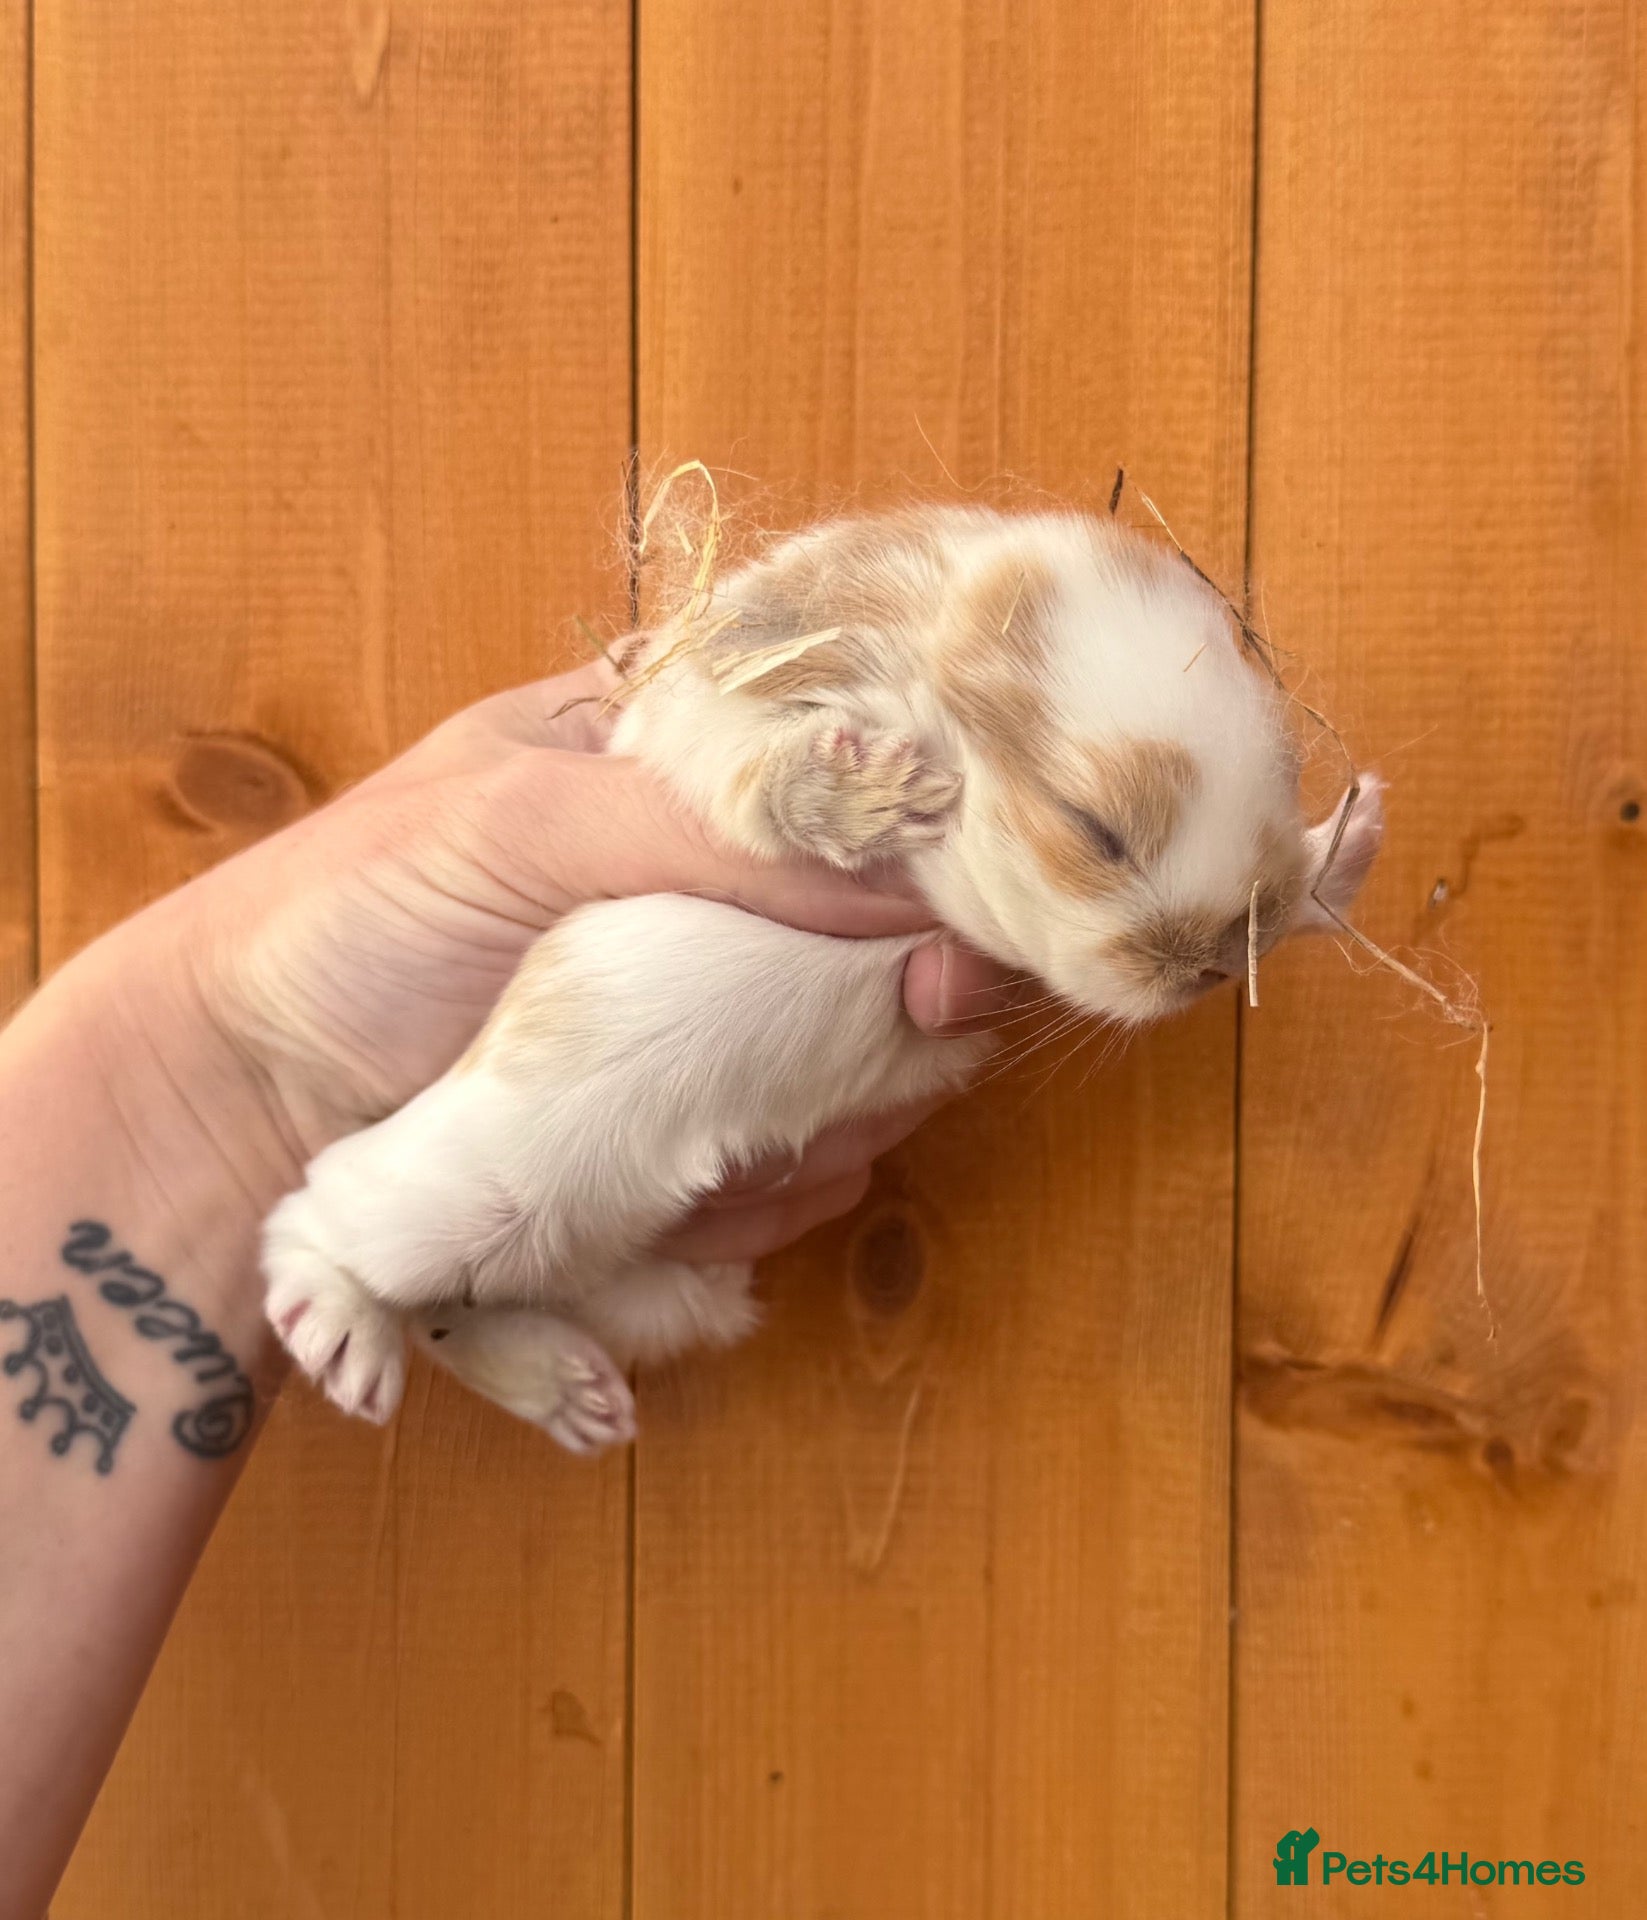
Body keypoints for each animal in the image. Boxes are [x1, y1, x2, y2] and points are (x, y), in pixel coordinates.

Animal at [262, 503, 1385, 1451]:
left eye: (1281, 788)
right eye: (1092, 829)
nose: (1205, 967)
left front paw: (1350, 834)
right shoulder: (705, 736)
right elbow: (752, 778)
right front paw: (874, 794)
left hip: (633, 1283)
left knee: (460, 1314)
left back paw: (576, 1397)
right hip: (448, 1190)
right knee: (313, 1223)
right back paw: (340, 1340)